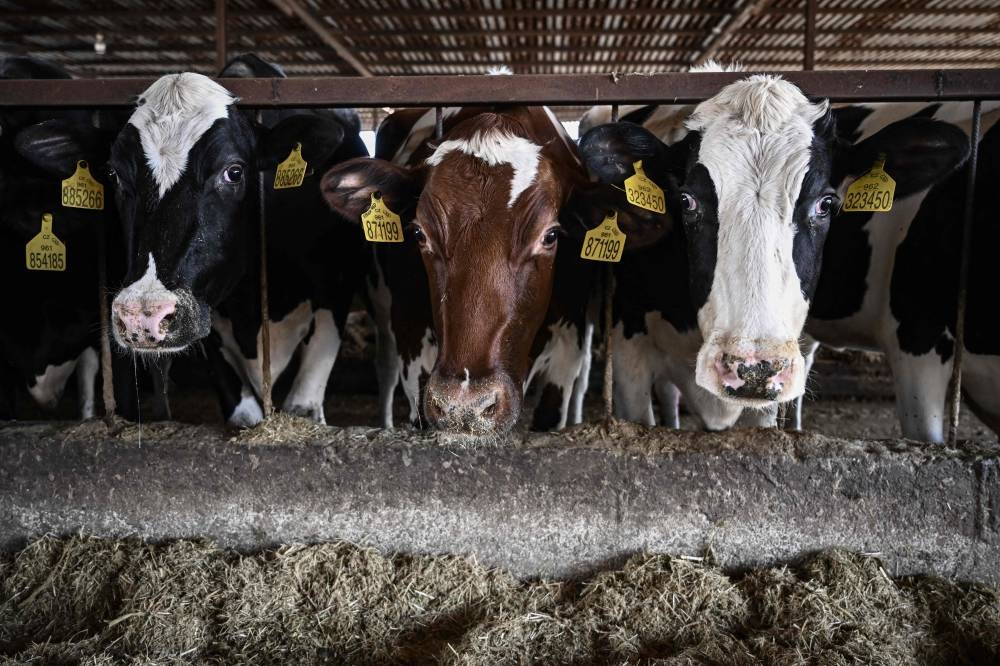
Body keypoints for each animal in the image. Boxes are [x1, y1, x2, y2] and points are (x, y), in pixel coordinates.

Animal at [107, 64, 369, 426]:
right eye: (117, 175)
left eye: (233, 172)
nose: (141, 314)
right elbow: (243, 413)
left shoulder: (336, 286)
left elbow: (304, 404)